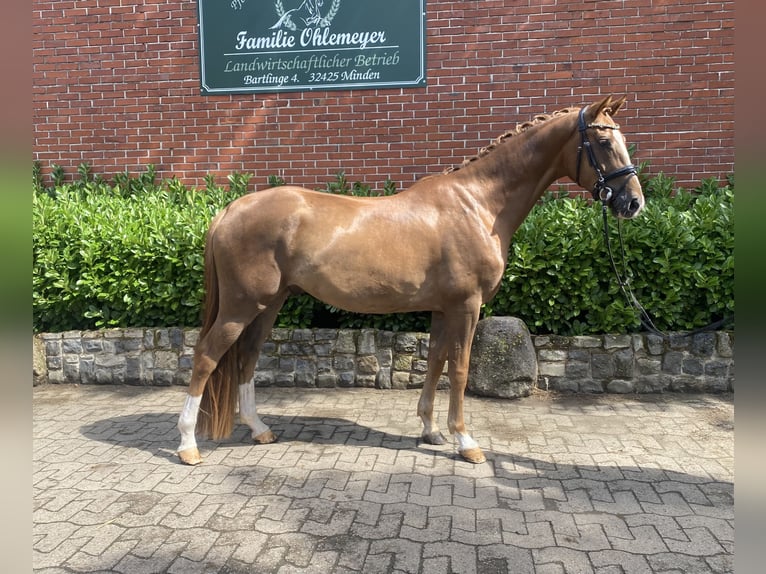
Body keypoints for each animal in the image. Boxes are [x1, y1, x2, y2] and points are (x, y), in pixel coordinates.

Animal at [176, 95, 644, 465]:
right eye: (604, 142)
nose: (633, 202)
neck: (478, 204)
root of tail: (230, 209)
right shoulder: (466, 306)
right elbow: (459, 369)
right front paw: (466, 442)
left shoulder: (441, 308)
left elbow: (435, 364)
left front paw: (430, 430)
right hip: (241, 306)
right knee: (206, 356)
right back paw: (187, 445)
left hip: (268, 304)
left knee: (246, 357)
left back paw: (258, 428)